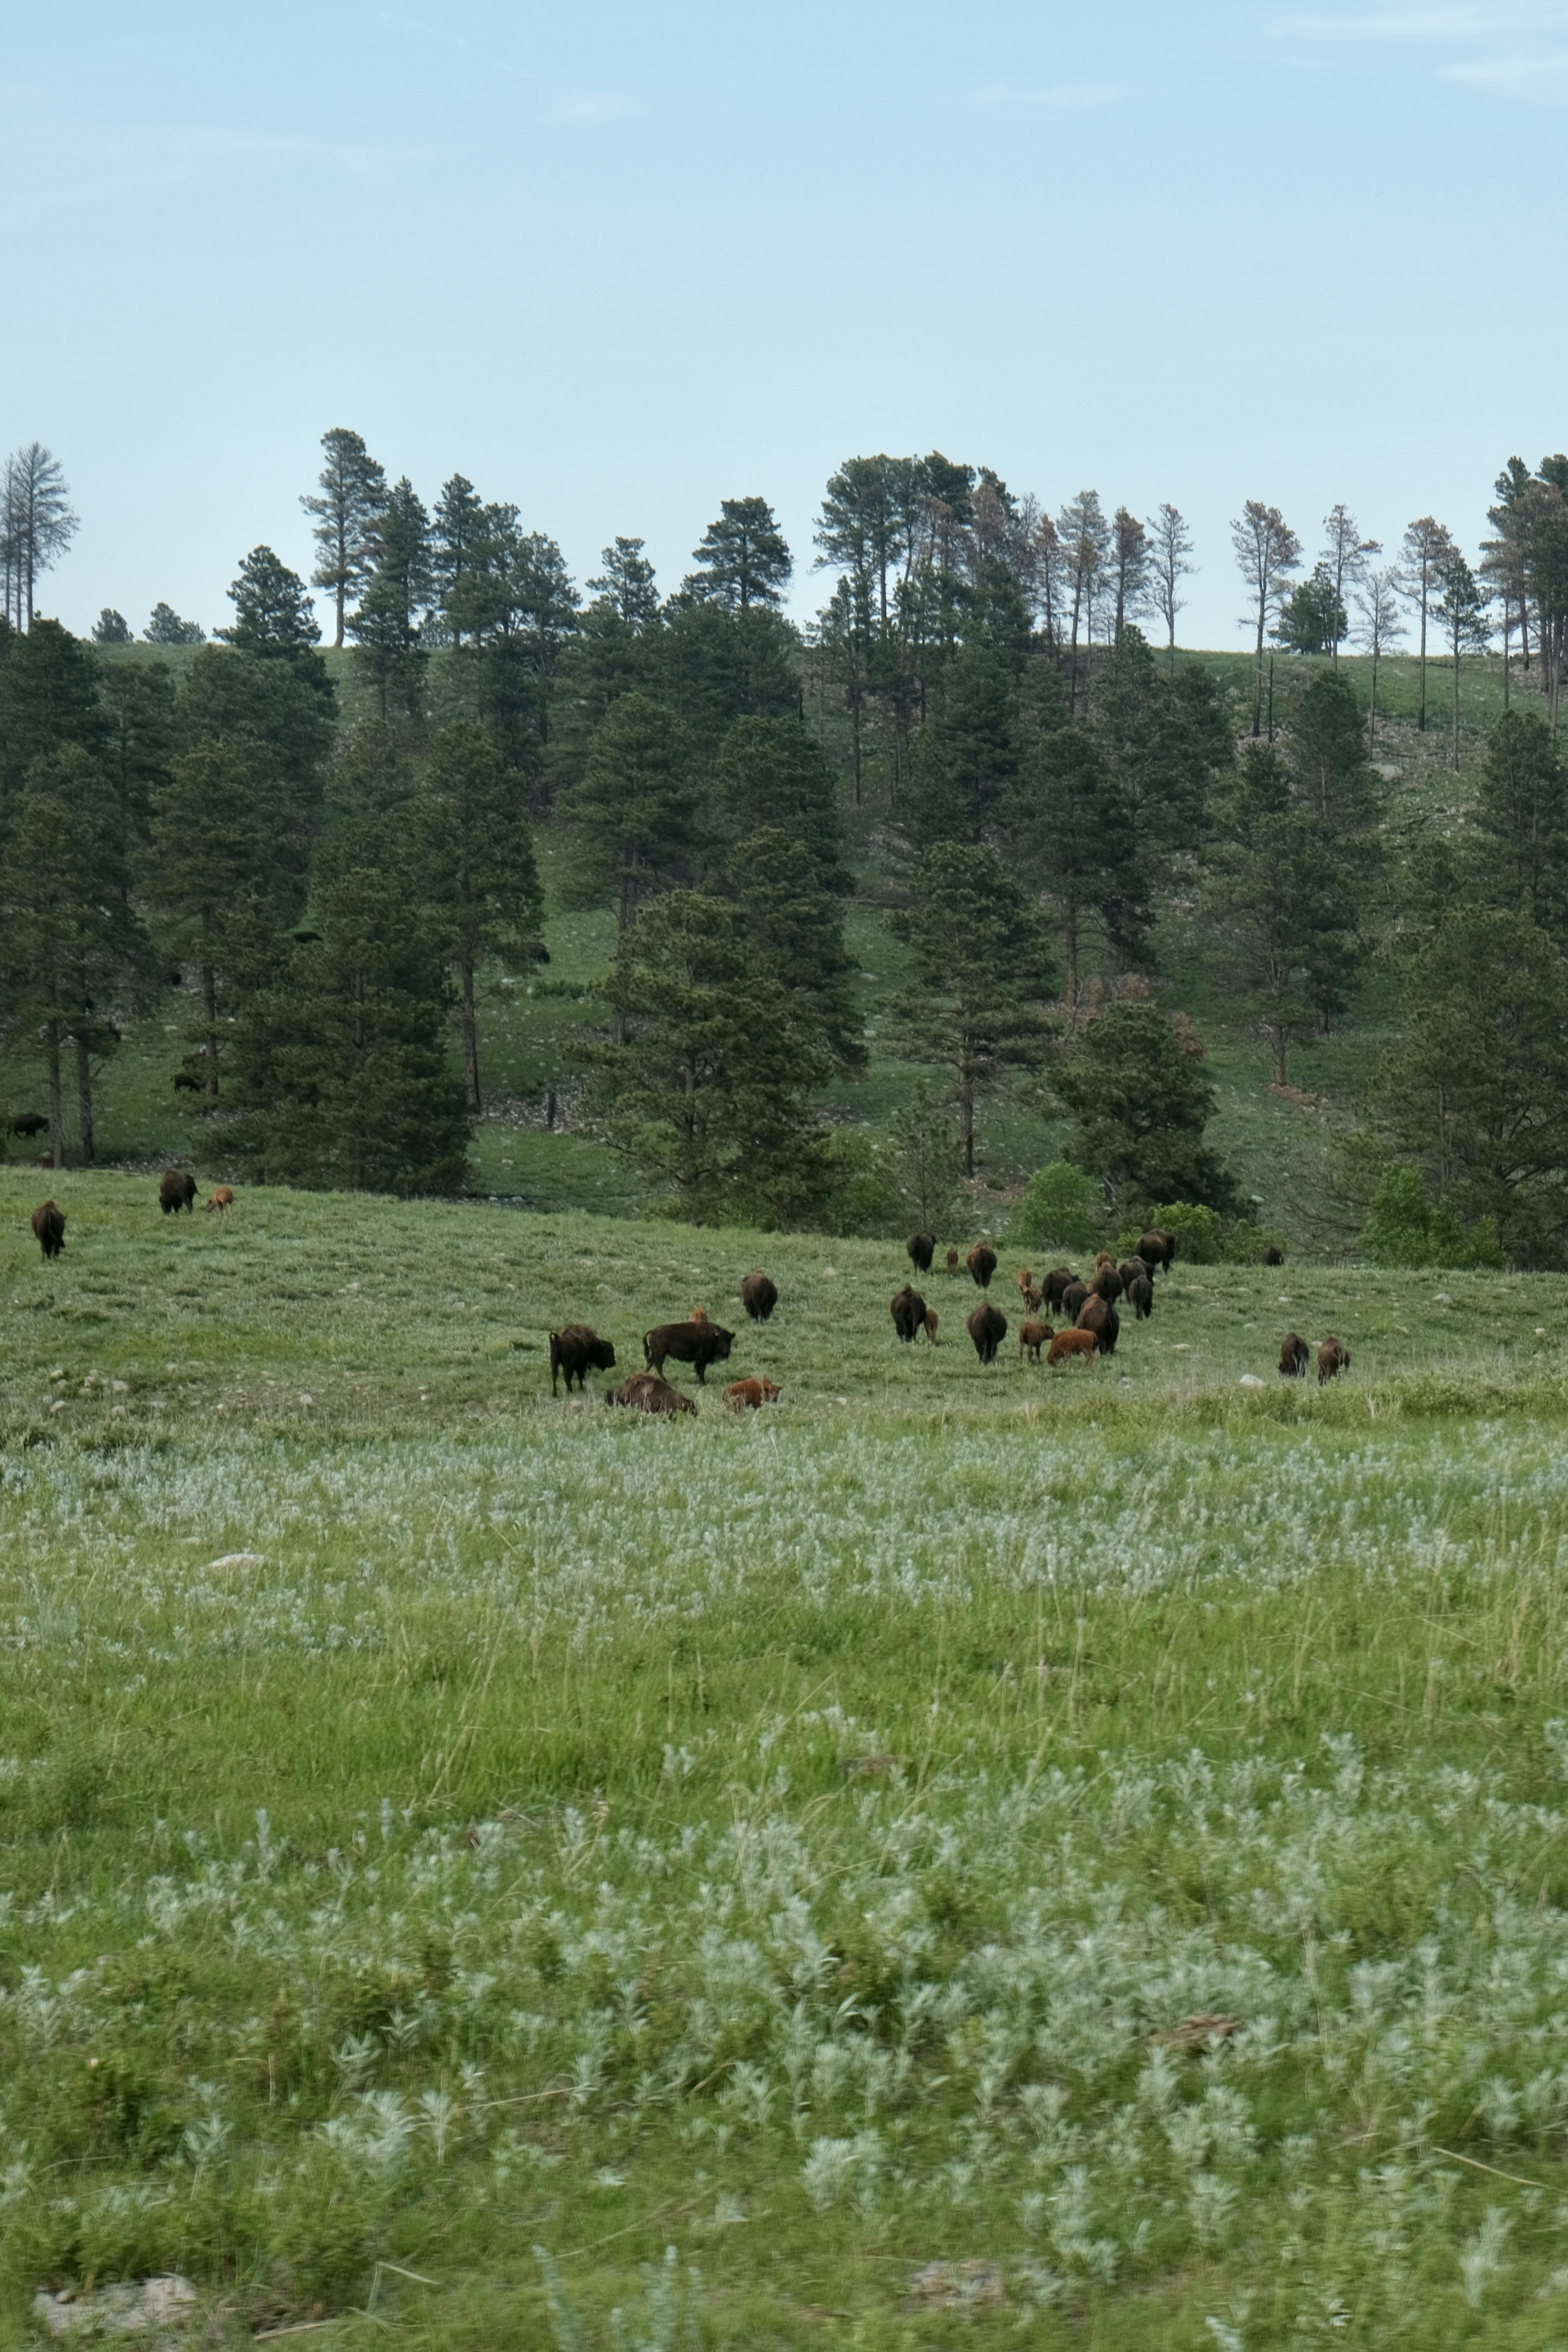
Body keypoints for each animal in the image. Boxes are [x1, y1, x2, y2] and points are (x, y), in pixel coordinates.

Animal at [31, 1200, 65, 1260]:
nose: (58, 1254)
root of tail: (48, 1214)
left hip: (43, 1237)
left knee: (44, 1247)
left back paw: (44, 1260)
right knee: (51, 1246)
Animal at [550, 1323, 617, 1395]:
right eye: (607, 1351)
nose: (613, 1363)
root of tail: (557, 1338)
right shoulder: (582, 1363)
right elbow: (581, 1376)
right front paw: (581, 1388)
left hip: (554, 1361)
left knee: (554, 1376)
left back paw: (555, 1394)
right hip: (568, 1363)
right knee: (567, 1375)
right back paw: (570, 1391)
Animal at [643, 1317, 734, 1384]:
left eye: (730, 1340)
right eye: (721, 1340)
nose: (727, 1351)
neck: (714, 1336)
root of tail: (652, 1331)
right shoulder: (701, 1359)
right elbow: (701, 1370)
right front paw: (703, 1382)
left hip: (655, 1354)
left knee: (650, 1363)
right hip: (661, 1354)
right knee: (658, 1366)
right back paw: (665, 1381)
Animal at [968, 1301, 1007, 1363]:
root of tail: (988, 1310)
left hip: (982, 1337)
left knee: (986, 1346)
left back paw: (985, 1359)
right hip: (994, 1337)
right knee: (993, 1347)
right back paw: (991, 1360)